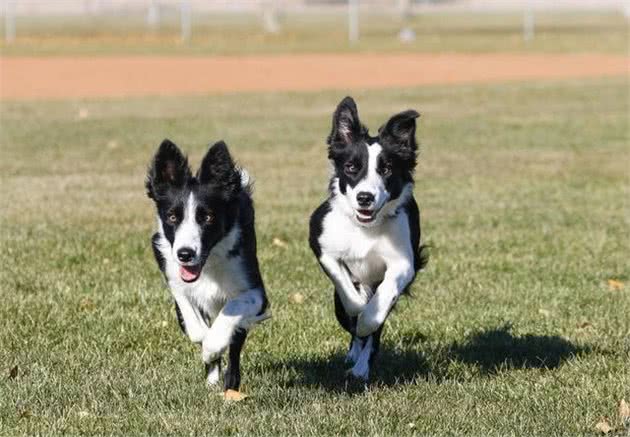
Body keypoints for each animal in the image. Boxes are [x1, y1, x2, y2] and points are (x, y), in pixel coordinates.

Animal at [146, 139, 270, 388]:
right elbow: (194, 324)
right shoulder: (173, 277)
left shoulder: (256, 292)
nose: (185, 254)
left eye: (207, 217)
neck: (209, 264)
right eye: (172, 217)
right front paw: (206, 346)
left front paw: (212, 346)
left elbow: (232, 310)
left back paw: (230, 383)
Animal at [312, 96, 430, 382]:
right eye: (351, 167)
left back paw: (361, 368)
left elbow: (382, 301)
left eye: (386, 169)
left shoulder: (403, 262)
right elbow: (348, 292)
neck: (365, 228)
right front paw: (358, 308)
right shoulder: (322, 244)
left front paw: (367, 321)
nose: (365, 197)